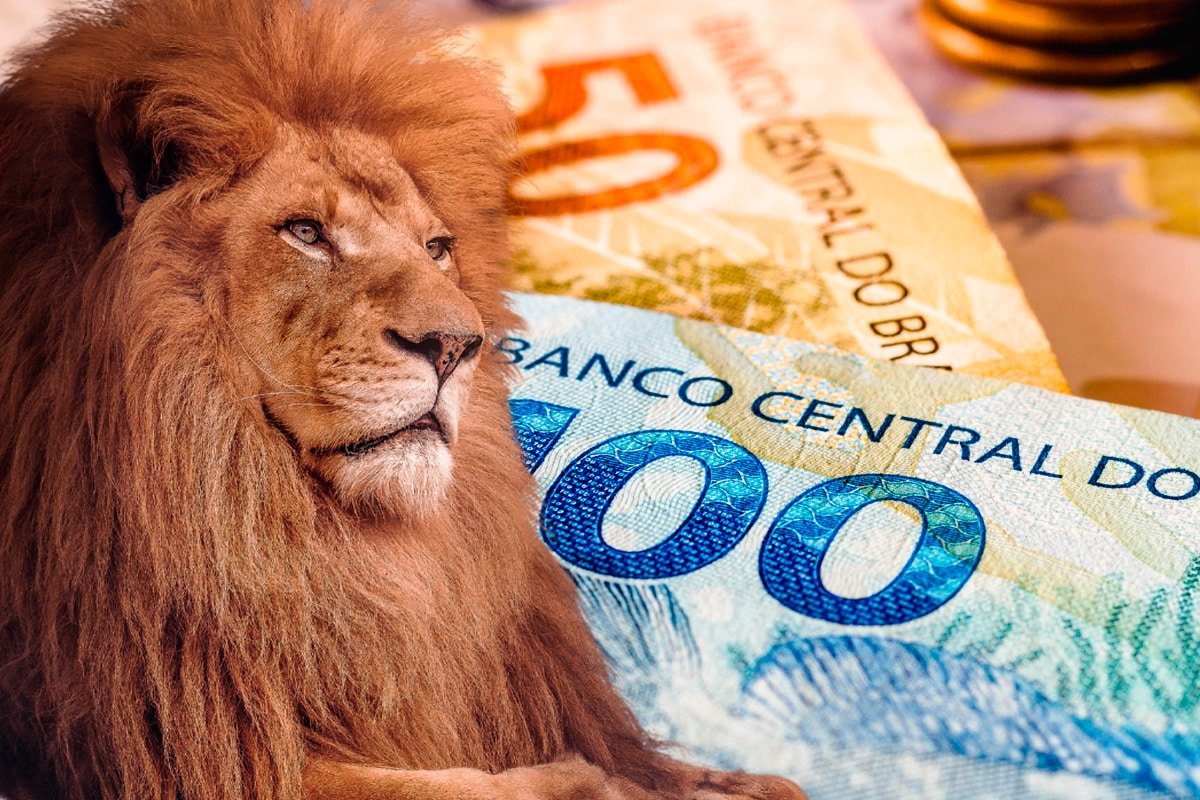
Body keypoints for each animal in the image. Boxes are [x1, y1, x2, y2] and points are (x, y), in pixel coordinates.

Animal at [0, 1, 806, 799]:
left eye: (437, 248)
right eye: (305, 232)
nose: (454, 345)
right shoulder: (188, 741)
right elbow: (443, 785)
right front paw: (589, 784)